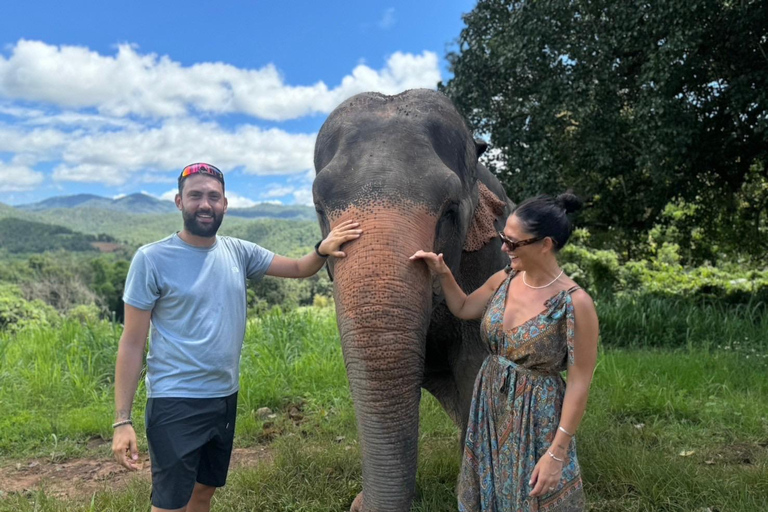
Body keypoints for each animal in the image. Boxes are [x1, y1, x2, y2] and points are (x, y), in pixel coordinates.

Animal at [312, 89, 516, 512]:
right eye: (319, 208)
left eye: (451, 210)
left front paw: (468, 494)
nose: (357, 504)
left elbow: (474, 361)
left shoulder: (488, 258)